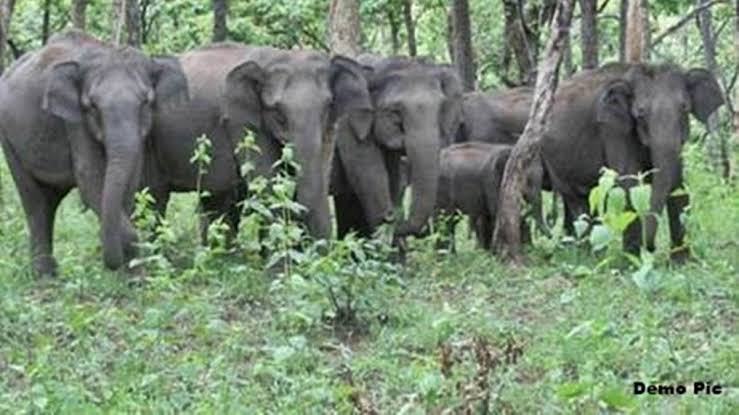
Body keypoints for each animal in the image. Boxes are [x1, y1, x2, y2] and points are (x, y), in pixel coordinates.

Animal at [0, 30, 188, 276]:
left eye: (146, 102)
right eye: (91, 106)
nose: (110, 265)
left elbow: (129, 181)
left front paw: (130, 276)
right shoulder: (75, 123)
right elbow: (91, 180)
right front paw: (135, 273)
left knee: (50, 200)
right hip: (9, 141)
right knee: (34, 200)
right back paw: (46, 277)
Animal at [147, 43, 372, 240]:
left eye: (328, 105)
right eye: (278, 113)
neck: (275, 55)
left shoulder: (330, 127)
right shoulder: (241, 121)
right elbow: (268, 186)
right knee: (156, 196)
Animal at [334, 57, 466, 240]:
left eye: (441, 107)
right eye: (394, 111)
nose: (390, 216)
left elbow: (392, 180)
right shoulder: (348, 124)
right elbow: (369, 175)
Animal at [544, 62, 724, 260]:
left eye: (684, 107)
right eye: (640, 113)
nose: (651, 248)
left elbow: (678, 185)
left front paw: (682, 262)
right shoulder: (614, 130)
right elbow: (629, 184)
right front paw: (631, 261)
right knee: (578, 200)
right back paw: (586, 255)